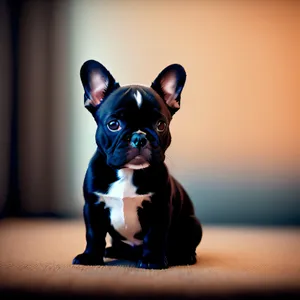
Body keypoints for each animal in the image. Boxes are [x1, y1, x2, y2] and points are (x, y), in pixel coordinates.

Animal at [73, 59, 203, 270]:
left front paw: (152, 260)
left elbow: (155, 236)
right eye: (113, 125)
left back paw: (184, 256)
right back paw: (113, 251)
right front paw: (90, 257)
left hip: (192, 224)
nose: (139, 137)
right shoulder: (93, 207)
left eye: (161, 125)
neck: (127, 173)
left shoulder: (159, 208)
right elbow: (93, 235)